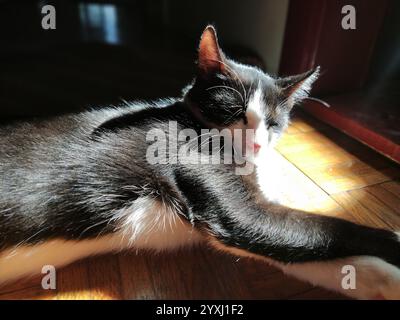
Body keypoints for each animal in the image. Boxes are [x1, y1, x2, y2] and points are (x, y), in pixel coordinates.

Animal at [0, 25, 398, 300]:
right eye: (235, 112)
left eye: (273, 122)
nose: (256, 143)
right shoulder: (223, 196)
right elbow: (314, 228)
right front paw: (392, 242)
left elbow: (296, 247)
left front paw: (382, 280)